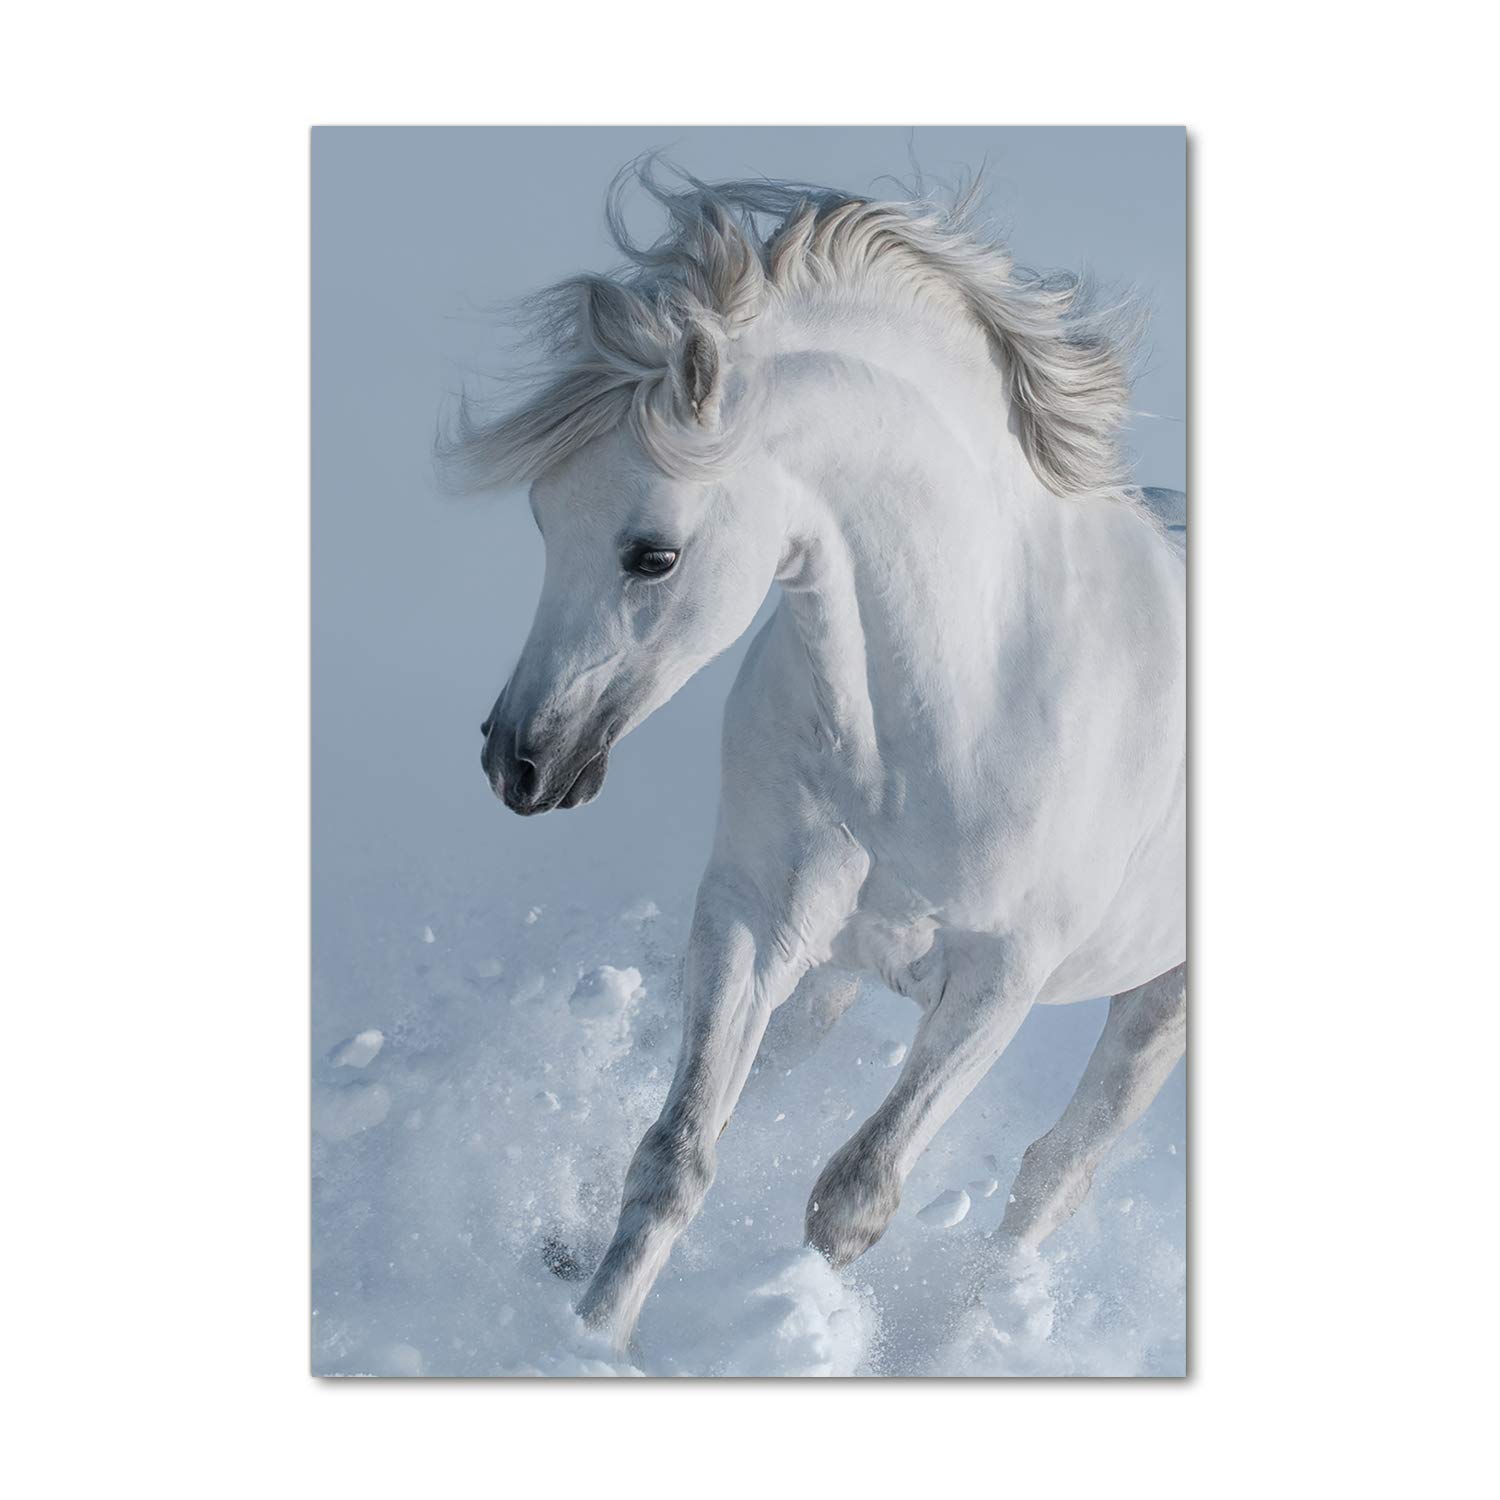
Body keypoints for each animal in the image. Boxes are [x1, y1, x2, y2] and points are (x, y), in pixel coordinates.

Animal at [449, 165, 1186, 1353]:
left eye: (652, 555)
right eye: (542, 519)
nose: (519, 763)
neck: (961, 704)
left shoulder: (999, 981)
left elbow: (853, 1199)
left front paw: (798, 1321)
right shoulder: (752, 918)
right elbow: (675, 1156)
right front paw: (590, 1339)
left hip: (1157, 1000)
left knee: (1053, 1179)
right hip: (838, 961)